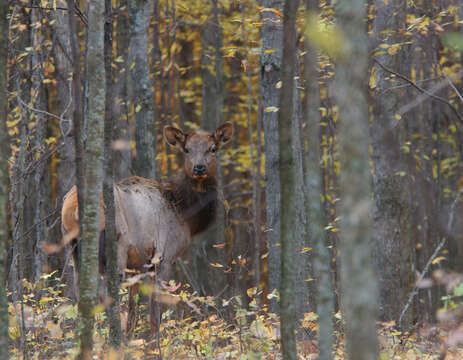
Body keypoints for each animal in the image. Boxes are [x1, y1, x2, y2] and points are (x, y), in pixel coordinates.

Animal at [60, 122, 236, 336]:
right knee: (105, 290)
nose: (199, 168)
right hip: (115, 242)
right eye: (186, 149)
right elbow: (155, 310)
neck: (185, 215)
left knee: (81, 291)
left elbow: (133, 309)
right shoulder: (165, 256)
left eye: (213, 148)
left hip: (73, 247)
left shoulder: (139, 264)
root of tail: (73, 206)